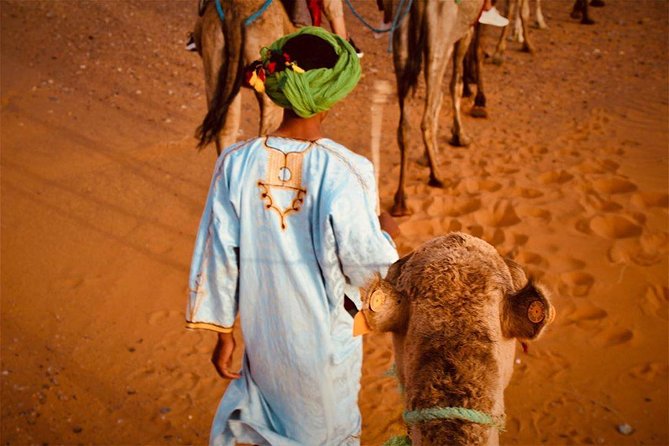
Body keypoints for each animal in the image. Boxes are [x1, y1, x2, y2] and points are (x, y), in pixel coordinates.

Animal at [388, 0, 485, 216]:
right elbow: (455, 84)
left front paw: (427, 156)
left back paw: (401, 201)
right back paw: (438, 177)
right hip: (437, 42)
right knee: (426, 119)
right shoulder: (464, 31)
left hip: (401, 43)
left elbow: (439, 97)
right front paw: (460, 136)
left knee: (404, 126)